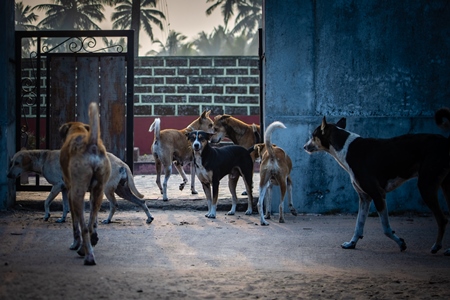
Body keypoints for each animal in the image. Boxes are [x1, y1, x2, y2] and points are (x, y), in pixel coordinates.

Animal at [59, 102, 111, 264]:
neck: (78, 129)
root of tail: (91, 143)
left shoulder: (70, 192)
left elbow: (75, 223)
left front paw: (75, 243)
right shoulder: (93, 193)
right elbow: (93, 220)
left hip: (77, 194)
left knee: (84, 227)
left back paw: (87, 255)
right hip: (100, 191)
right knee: (90, 224)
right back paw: (88, 245)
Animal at [302, 106, 450, 254]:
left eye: (313, 136)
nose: (304, 147)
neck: (346, 148)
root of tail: (446, 141)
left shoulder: (378, 194)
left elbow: (386, 228)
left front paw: (400, 243)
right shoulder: (364, 198)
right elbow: (358, 225)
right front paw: (351, 243)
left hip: (426, 185)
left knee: (442, 219)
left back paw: (436, 246)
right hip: (444, 185)